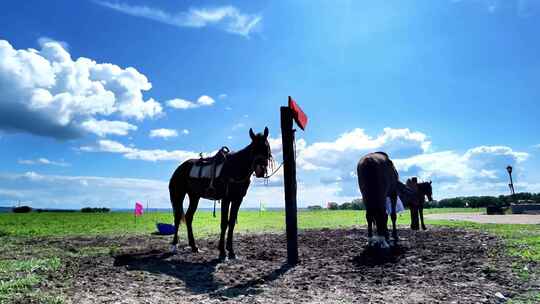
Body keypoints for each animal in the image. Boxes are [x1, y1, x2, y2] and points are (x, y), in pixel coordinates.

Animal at [169, 126, 272, 258]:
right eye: (253, 149)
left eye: (266, 147)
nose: (260, 170)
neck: (235, 168)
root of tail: (179, 169)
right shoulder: (226, 199)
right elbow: (224, 223)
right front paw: (222, 252)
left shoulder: (237, 199)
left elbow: (231, 223)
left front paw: (231, 251)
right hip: (179, 195)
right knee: (177, 218)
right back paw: (174, 245)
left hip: (194, 197)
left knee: (188, 217)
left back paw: (194, 246)